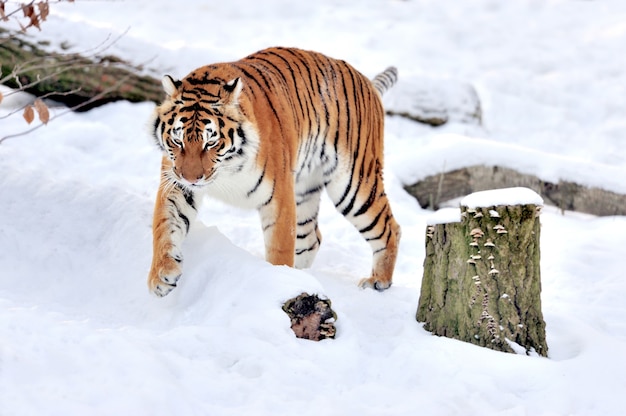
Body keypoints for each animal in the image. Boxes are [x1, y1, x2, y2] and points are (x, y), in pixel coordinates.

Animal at [147, 46, 400, 296]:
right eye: (178, 141)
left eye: (211, 143)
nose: (191, 178)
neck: (226, 169)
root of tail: (366, 81)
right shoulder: (176, 185)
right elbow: (165, 226)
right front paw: (161, 275)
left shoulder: (279, 197)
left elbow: (280, 249)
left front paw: (279, 285)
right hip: (305, 190)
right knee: (311, 239)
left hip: (353, 184)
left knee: (389, 227)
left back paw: (378, 281)